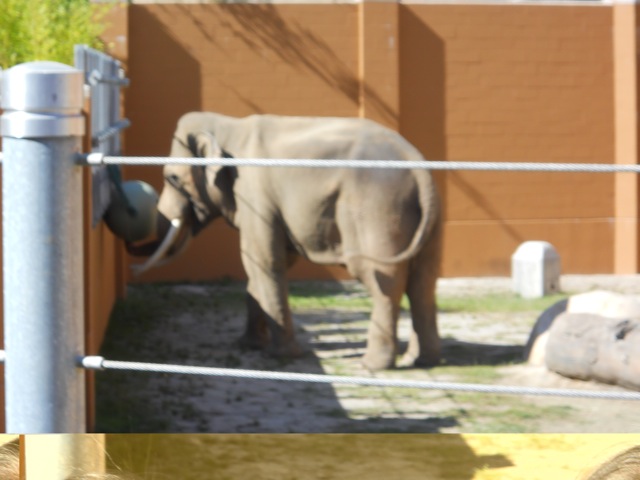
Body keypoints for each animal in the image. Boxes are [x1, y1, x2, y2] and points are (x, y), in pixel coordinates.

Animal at [128, 112, 442, 371]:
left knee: (385, 281)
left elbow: (263, 259)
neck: (228, 126)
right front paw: (247, 345)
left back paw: (372, 365)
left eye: (172, 178)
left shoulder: (254, 194)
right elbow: (263, 264)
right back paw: (421, 360)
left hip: (375, 208)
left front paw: (280, 356)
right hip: (426, 218)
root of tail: (417, 166)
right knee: (424, 282)